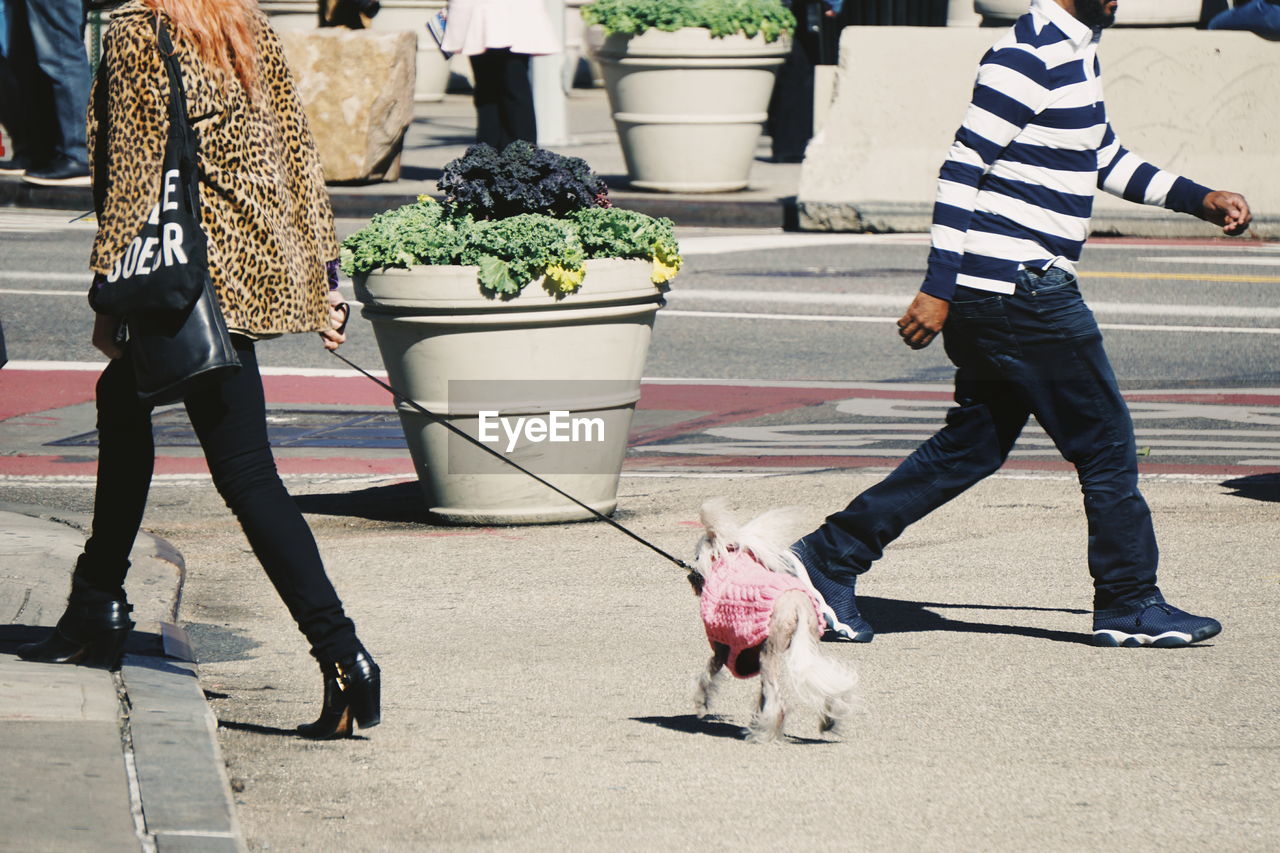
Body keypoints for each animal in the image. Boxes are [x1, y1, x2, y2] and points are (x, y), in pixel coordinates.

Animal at [691, 494, 860, 742]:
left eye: (696, 555)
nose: (692, 575)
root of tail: (797, 604)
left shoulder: (722, 647)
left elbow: (708, 675)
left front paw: (701, 704)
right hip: (803, 644)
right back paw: (826, 720)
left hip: (769, 651)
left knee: (777, 700)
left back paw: (764, 732)